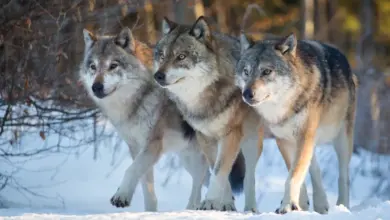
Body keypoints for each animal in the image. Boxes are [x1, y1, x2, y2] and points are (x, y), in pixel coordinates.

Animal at [152, 16, 266, 212]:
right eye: (162, 56)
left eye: (181, 57)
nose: (158, 76)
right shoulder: (205, 137)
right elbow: (217, 170)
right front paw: (224, 203)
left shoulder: (231, 135)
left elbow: (221, 170)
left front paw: (211, 201)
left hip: (251, 141)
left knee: (250, 175)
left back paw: (251, 209)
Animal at [236, 31, 358, 214]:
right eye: (246, 71)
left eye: (266, 71)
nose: (246, 93)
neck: (285, 106)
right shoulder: (284, 140)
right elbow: (294, 173)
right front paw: (298, 204)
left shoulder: (303, 136)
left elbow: (293, 176)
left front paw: (287, 205)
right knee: (314, 167)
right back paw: (320, 204)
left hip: (341, 140)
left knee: (344, 175)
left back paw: (342, 207)